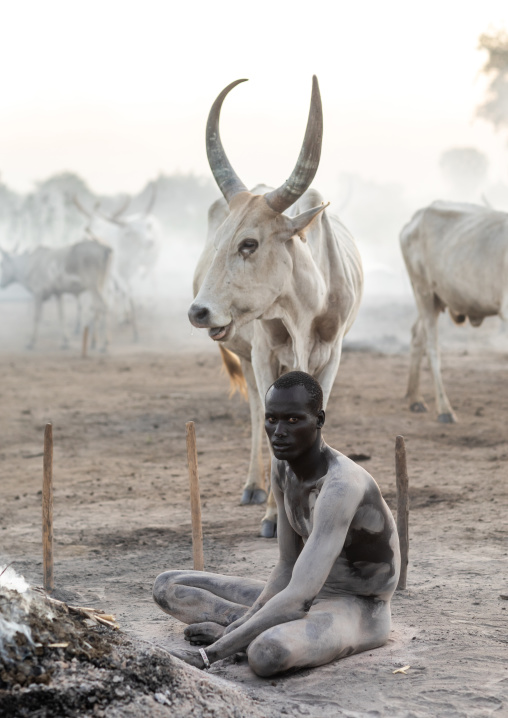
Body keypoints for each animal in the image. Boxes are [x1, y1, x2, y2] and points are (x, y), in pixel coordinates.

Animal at [189, 77, 363, 537]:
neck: (303, 308)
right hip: (247, 357)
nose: (199, 312)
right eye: (218, 242)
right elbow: (267, 419)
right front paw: (272, 513)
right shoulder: (265, 353)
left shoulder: (333, 356)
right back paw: (254, 487)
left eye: (249, 243)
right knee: (253, 407)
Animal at [400, 200, 508, 423]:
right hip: (424, 291)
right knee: (432, 347)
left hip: (435, 299)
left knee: (417, 335)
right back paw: (444, 409)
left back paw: (415, 399)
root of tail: (417, 216)